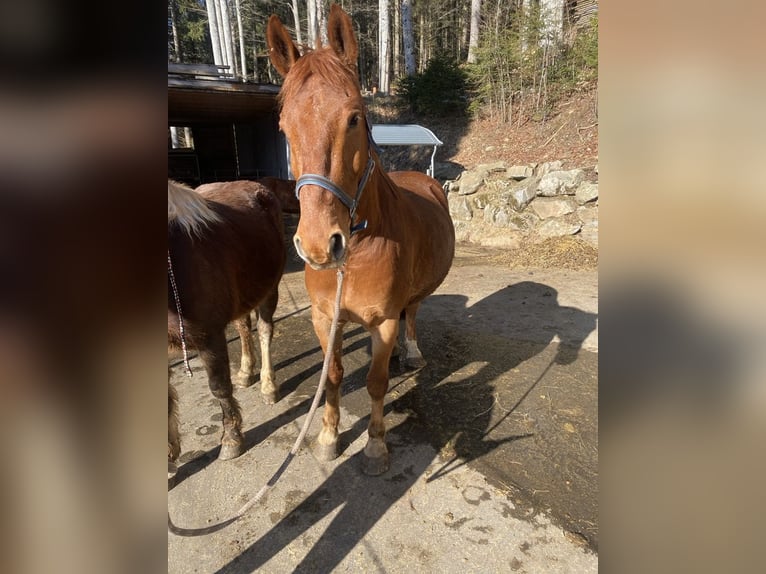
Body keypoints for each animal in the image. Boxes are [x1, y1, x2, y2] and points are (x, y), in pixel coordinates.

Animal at [170, 182, 286, 466]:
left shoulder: (208, 336)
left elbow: (220, 388)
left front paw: (232, 440)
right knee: (243, 327)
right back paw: (245, 372)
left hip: (270, 287)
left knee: (264, 330)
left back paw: (268, 386)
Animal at [268, 4, 456, 476]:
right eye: (284, 127)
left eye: (353, 118)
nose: (320, 245)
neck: (355, 254)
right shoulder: (324, 318)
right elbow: (332, 375)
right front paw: (328, 437)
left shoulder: (383, 321)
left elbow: (375, 381)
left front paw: (375, 444)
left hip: (414, 297)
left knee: (413, 313)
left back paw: (411, 352)